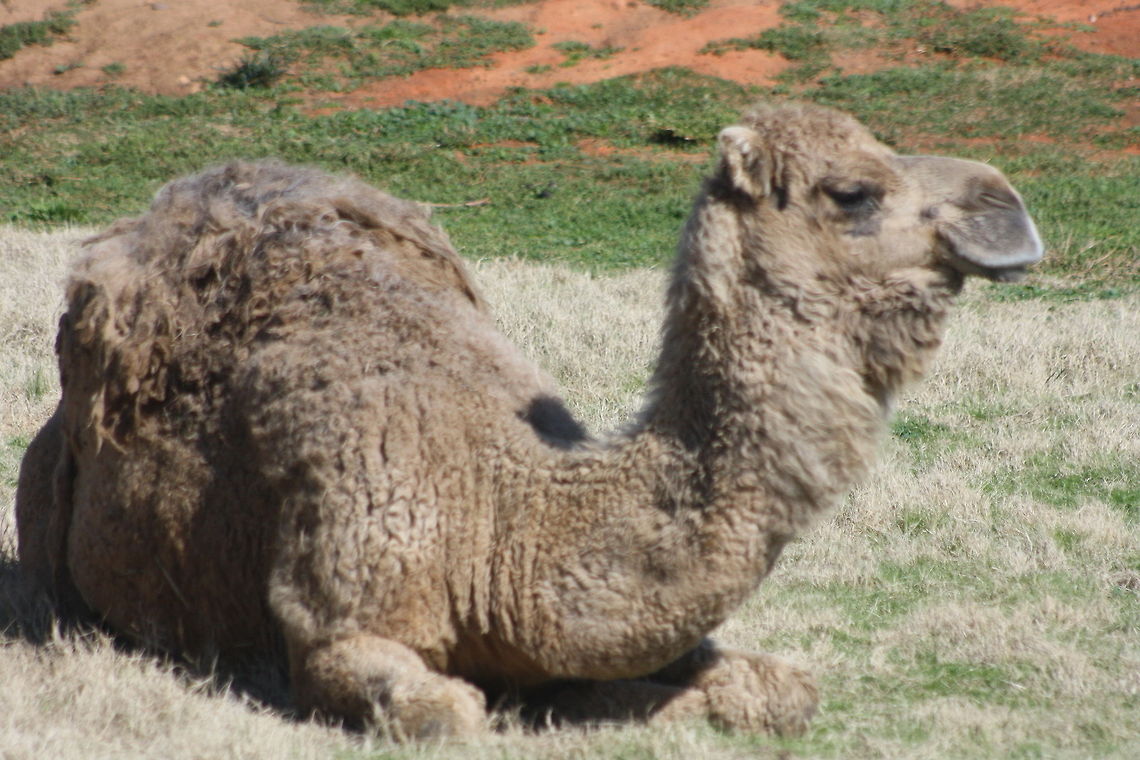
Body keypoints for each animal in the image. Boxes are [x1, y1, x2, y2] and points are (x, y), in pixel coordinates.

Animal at [16, 102, 1043, 739]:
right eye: (852, 192)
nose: (1009, 209)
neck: (502, 515)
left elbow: (783, 690)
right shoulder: (338, 614)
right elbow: (445, 713)